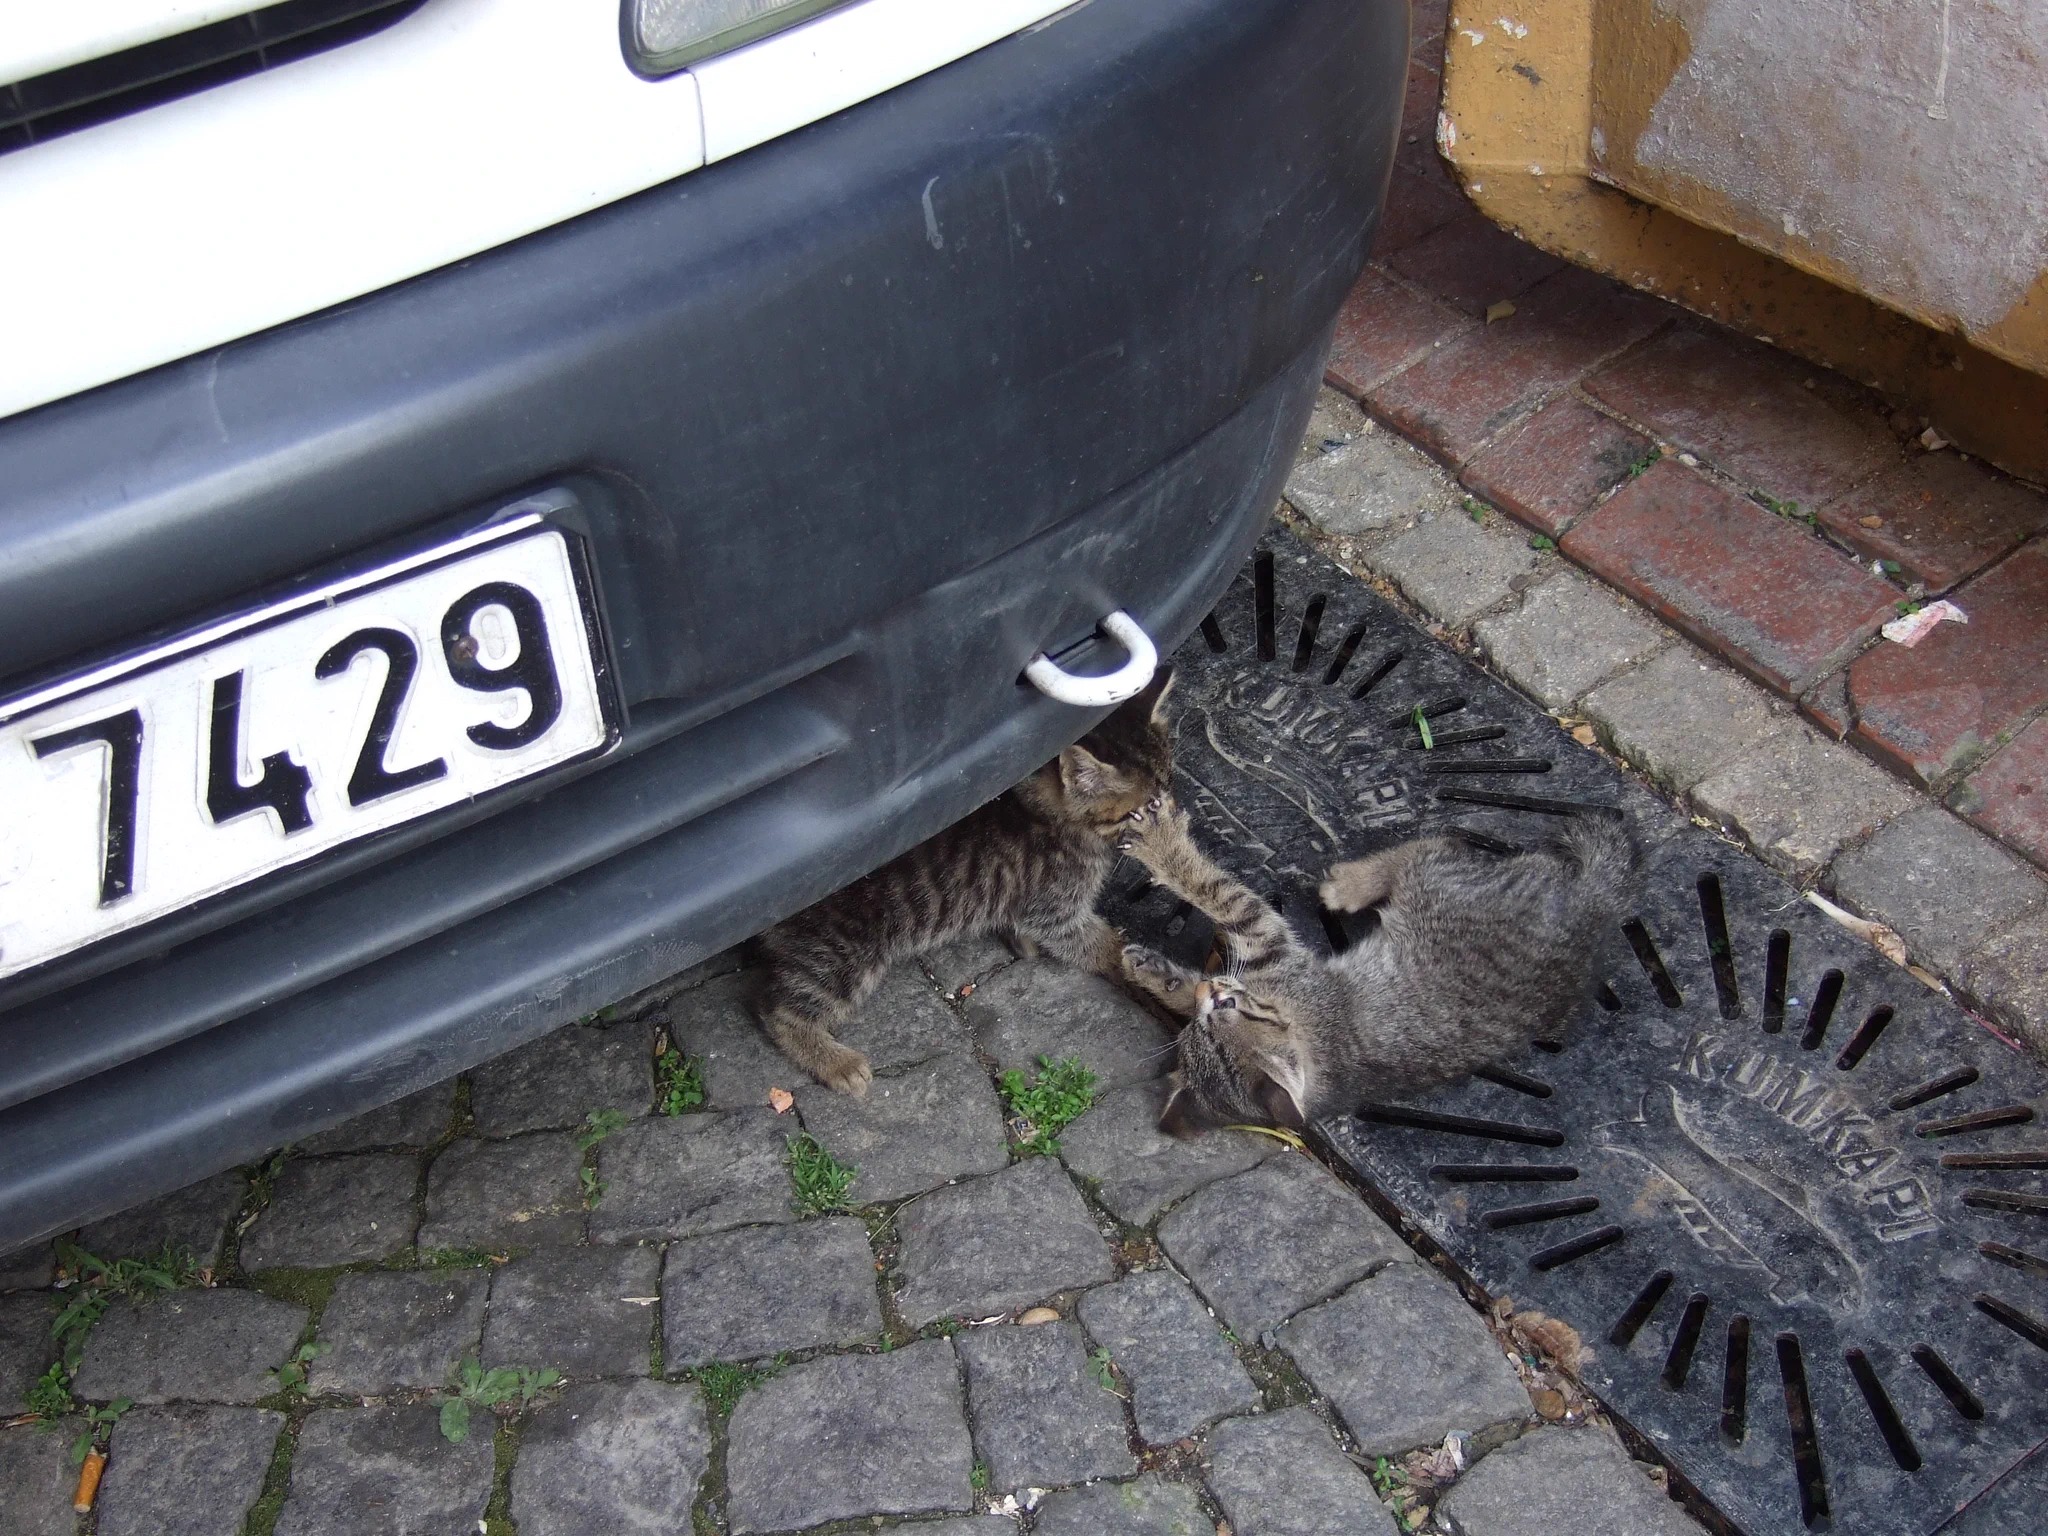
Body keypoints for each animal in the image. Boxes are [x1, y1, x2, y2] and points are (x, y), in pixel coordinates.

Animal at [753, 671, 1179, 1097]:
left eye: (1168, 784)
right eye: (1141, 809)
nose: (1173, 819)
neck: (1049, 814)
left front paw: (1019, 939)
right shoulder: (1055, 911)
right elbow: (1096, 943)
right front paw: (1135, 966)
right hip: (844, 953)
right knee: (779, 1013)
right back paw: (834, 1060)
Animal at [1114, 806, 1638, 1146]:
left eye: (1228, 1007)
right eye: (1199, 1030)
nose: (1212, 988)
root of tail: (1594, 902)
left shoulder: (1271, 942)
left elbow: (1215, 889)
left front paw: (1163, 848)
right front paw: (1159, 975)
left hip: (1435, 888)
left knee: (1440, 844)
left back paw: (1351, 884)